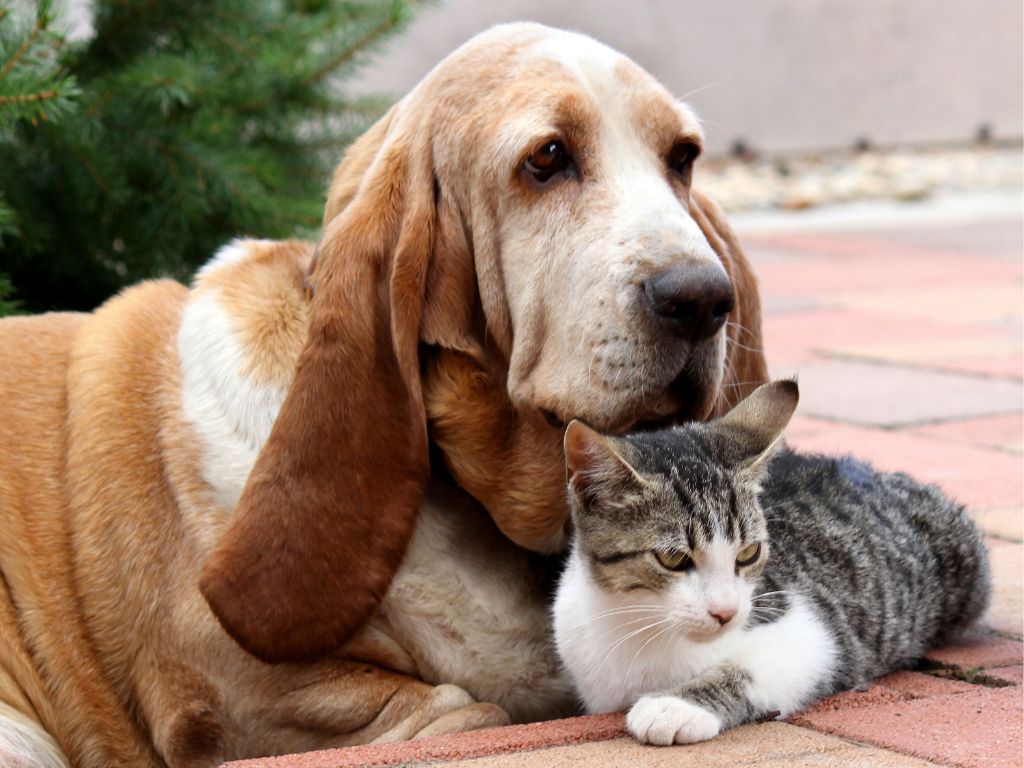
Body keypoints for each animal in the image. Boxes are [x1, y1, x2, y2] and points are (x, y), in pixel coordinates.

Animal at [552, 382, 991, 749]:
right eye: (674, 558)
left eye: (748, 553)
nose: (726, 612)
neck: (640, 623)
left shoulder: (811, 633)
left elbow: (752, 666)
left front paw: (676, 706)